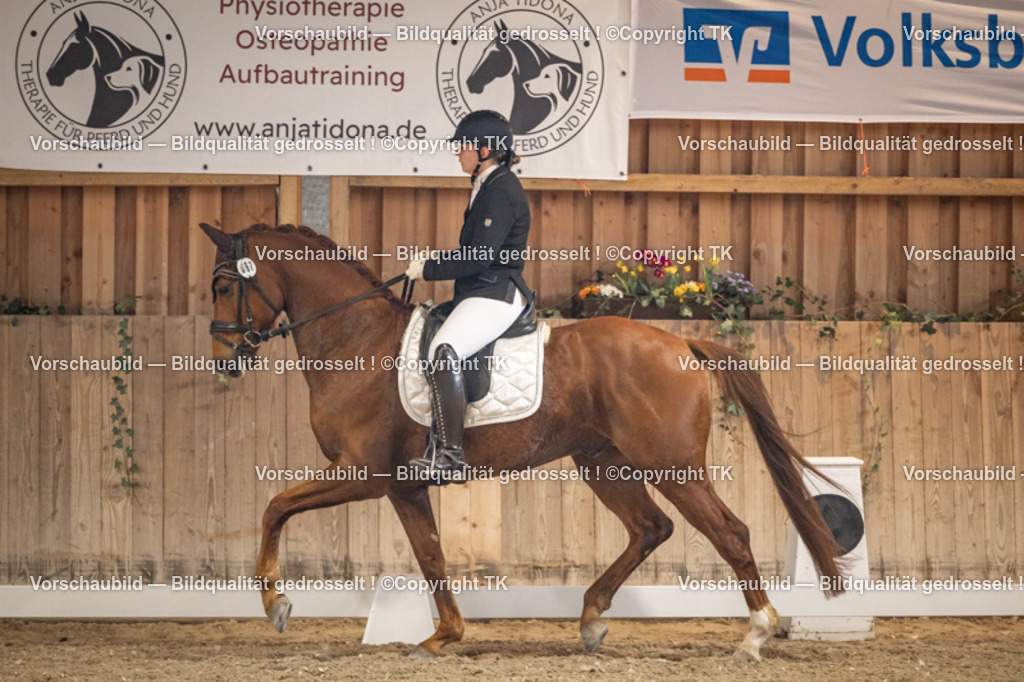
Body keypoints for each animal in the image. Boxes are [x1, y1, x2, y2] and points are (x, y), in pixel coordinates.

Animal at [199, 222, 845, 662]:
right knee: (650, 528)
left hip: (672, 465)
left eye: (222, 286)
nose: (223, 361)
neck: (356, 339)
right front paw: (444, 635)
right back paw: (591, 618)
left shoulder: (363, 473)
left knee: (728, 532)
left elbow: (274, 507)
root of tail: (680, 343)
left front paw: (277, 606)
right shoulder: (403, 486)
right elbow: (431, 556)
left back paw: (755, 635)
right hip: (604, 464)